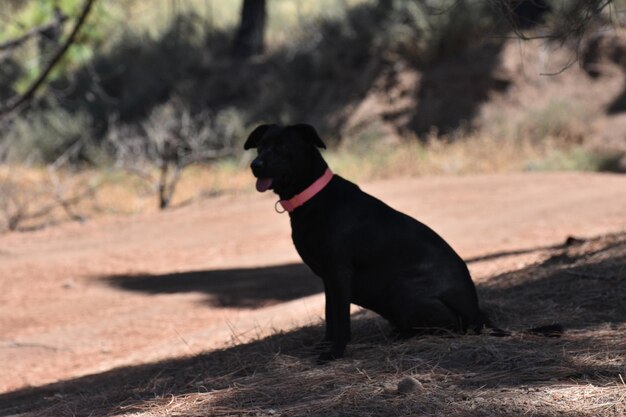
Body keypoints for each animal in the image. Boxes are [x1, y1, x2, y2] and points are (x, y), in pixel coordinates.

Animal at [244, 123, 492, 360]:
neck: (312, 197)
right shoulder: (329, 278)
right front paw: (326, 344)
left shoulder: (339, 272)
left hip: (400, 288)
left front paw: (334, 353)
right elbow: (330, 315)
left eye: (282, 146)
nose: (255, 165)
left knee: (452, 326)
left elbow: (341, 319)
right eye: (260, 146)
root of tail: (476, 312)